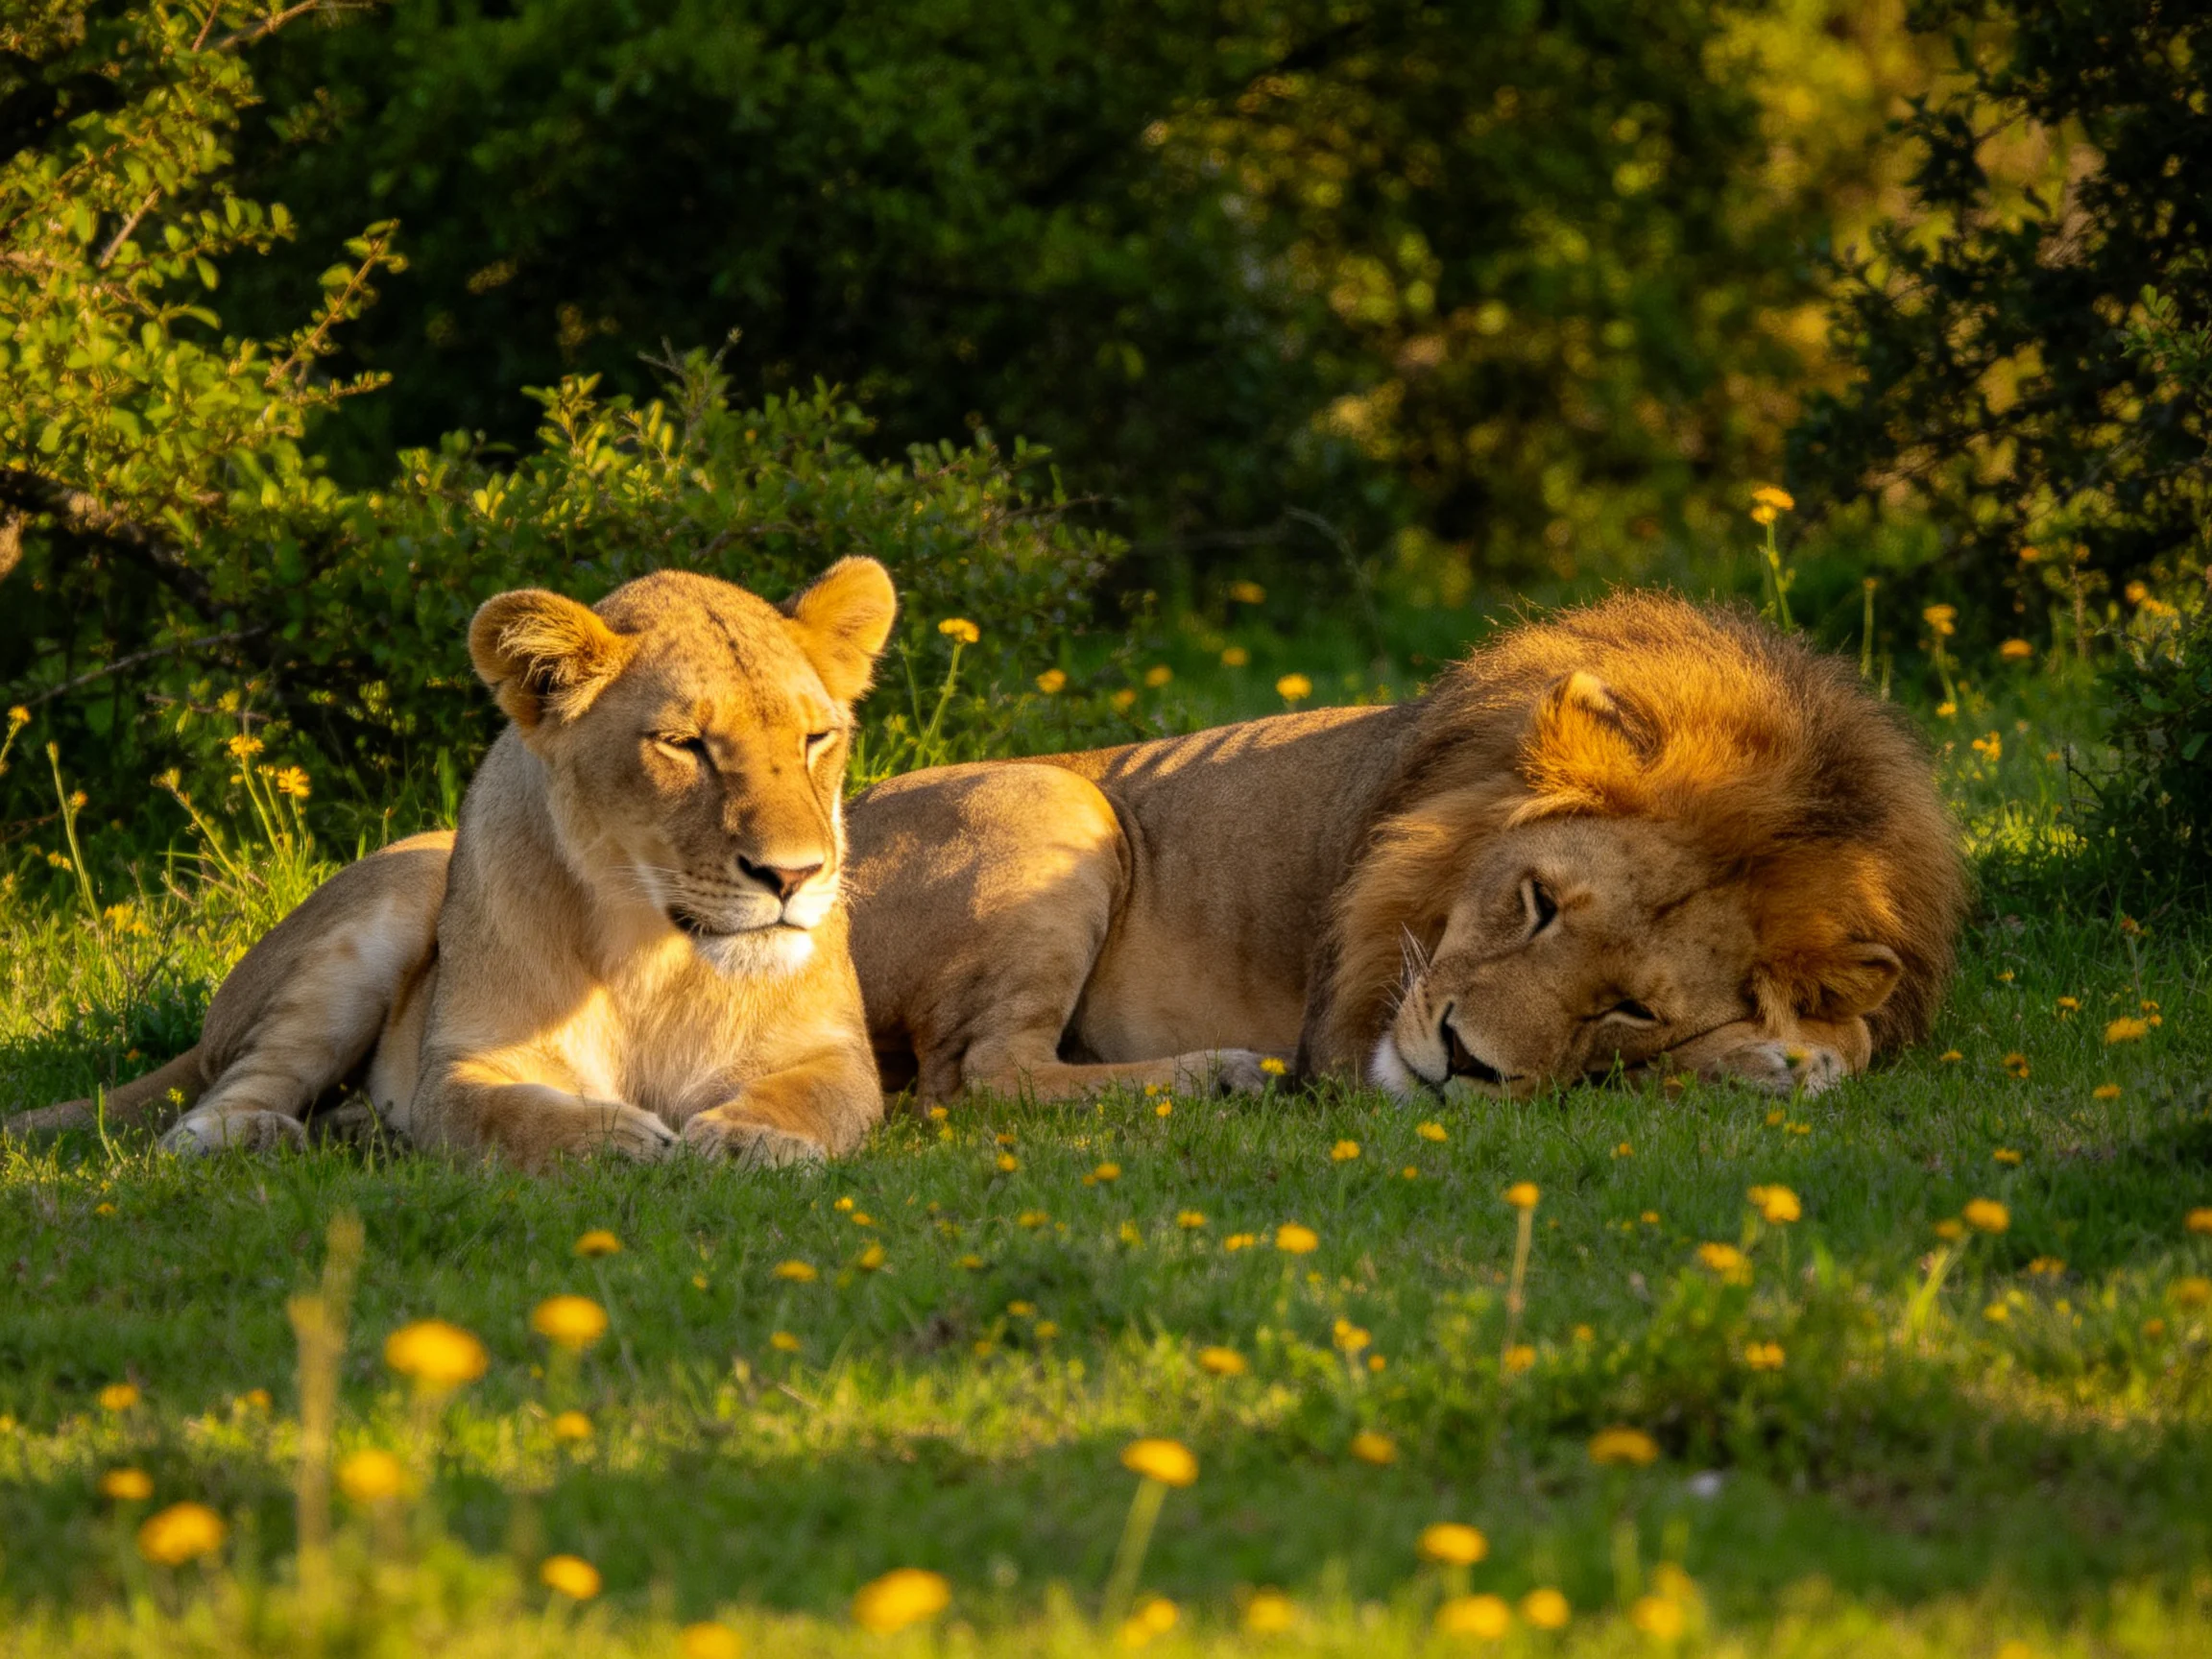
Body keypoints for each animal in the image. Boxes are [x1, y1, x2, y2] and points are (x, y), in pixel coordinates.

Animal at [15, 560, 898, 1169]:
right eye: (683, 745)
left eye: (816, 738)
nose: (793, 877)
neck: (658, 954)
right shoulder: (469, 1064)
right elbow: (505, 1114)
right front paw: (617, 1140)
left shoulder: (834, 1052)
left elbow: (814, 1093)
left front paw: (753, 1138)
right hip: (381, 917)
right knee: (225, 1091)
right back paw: (243, 1133)